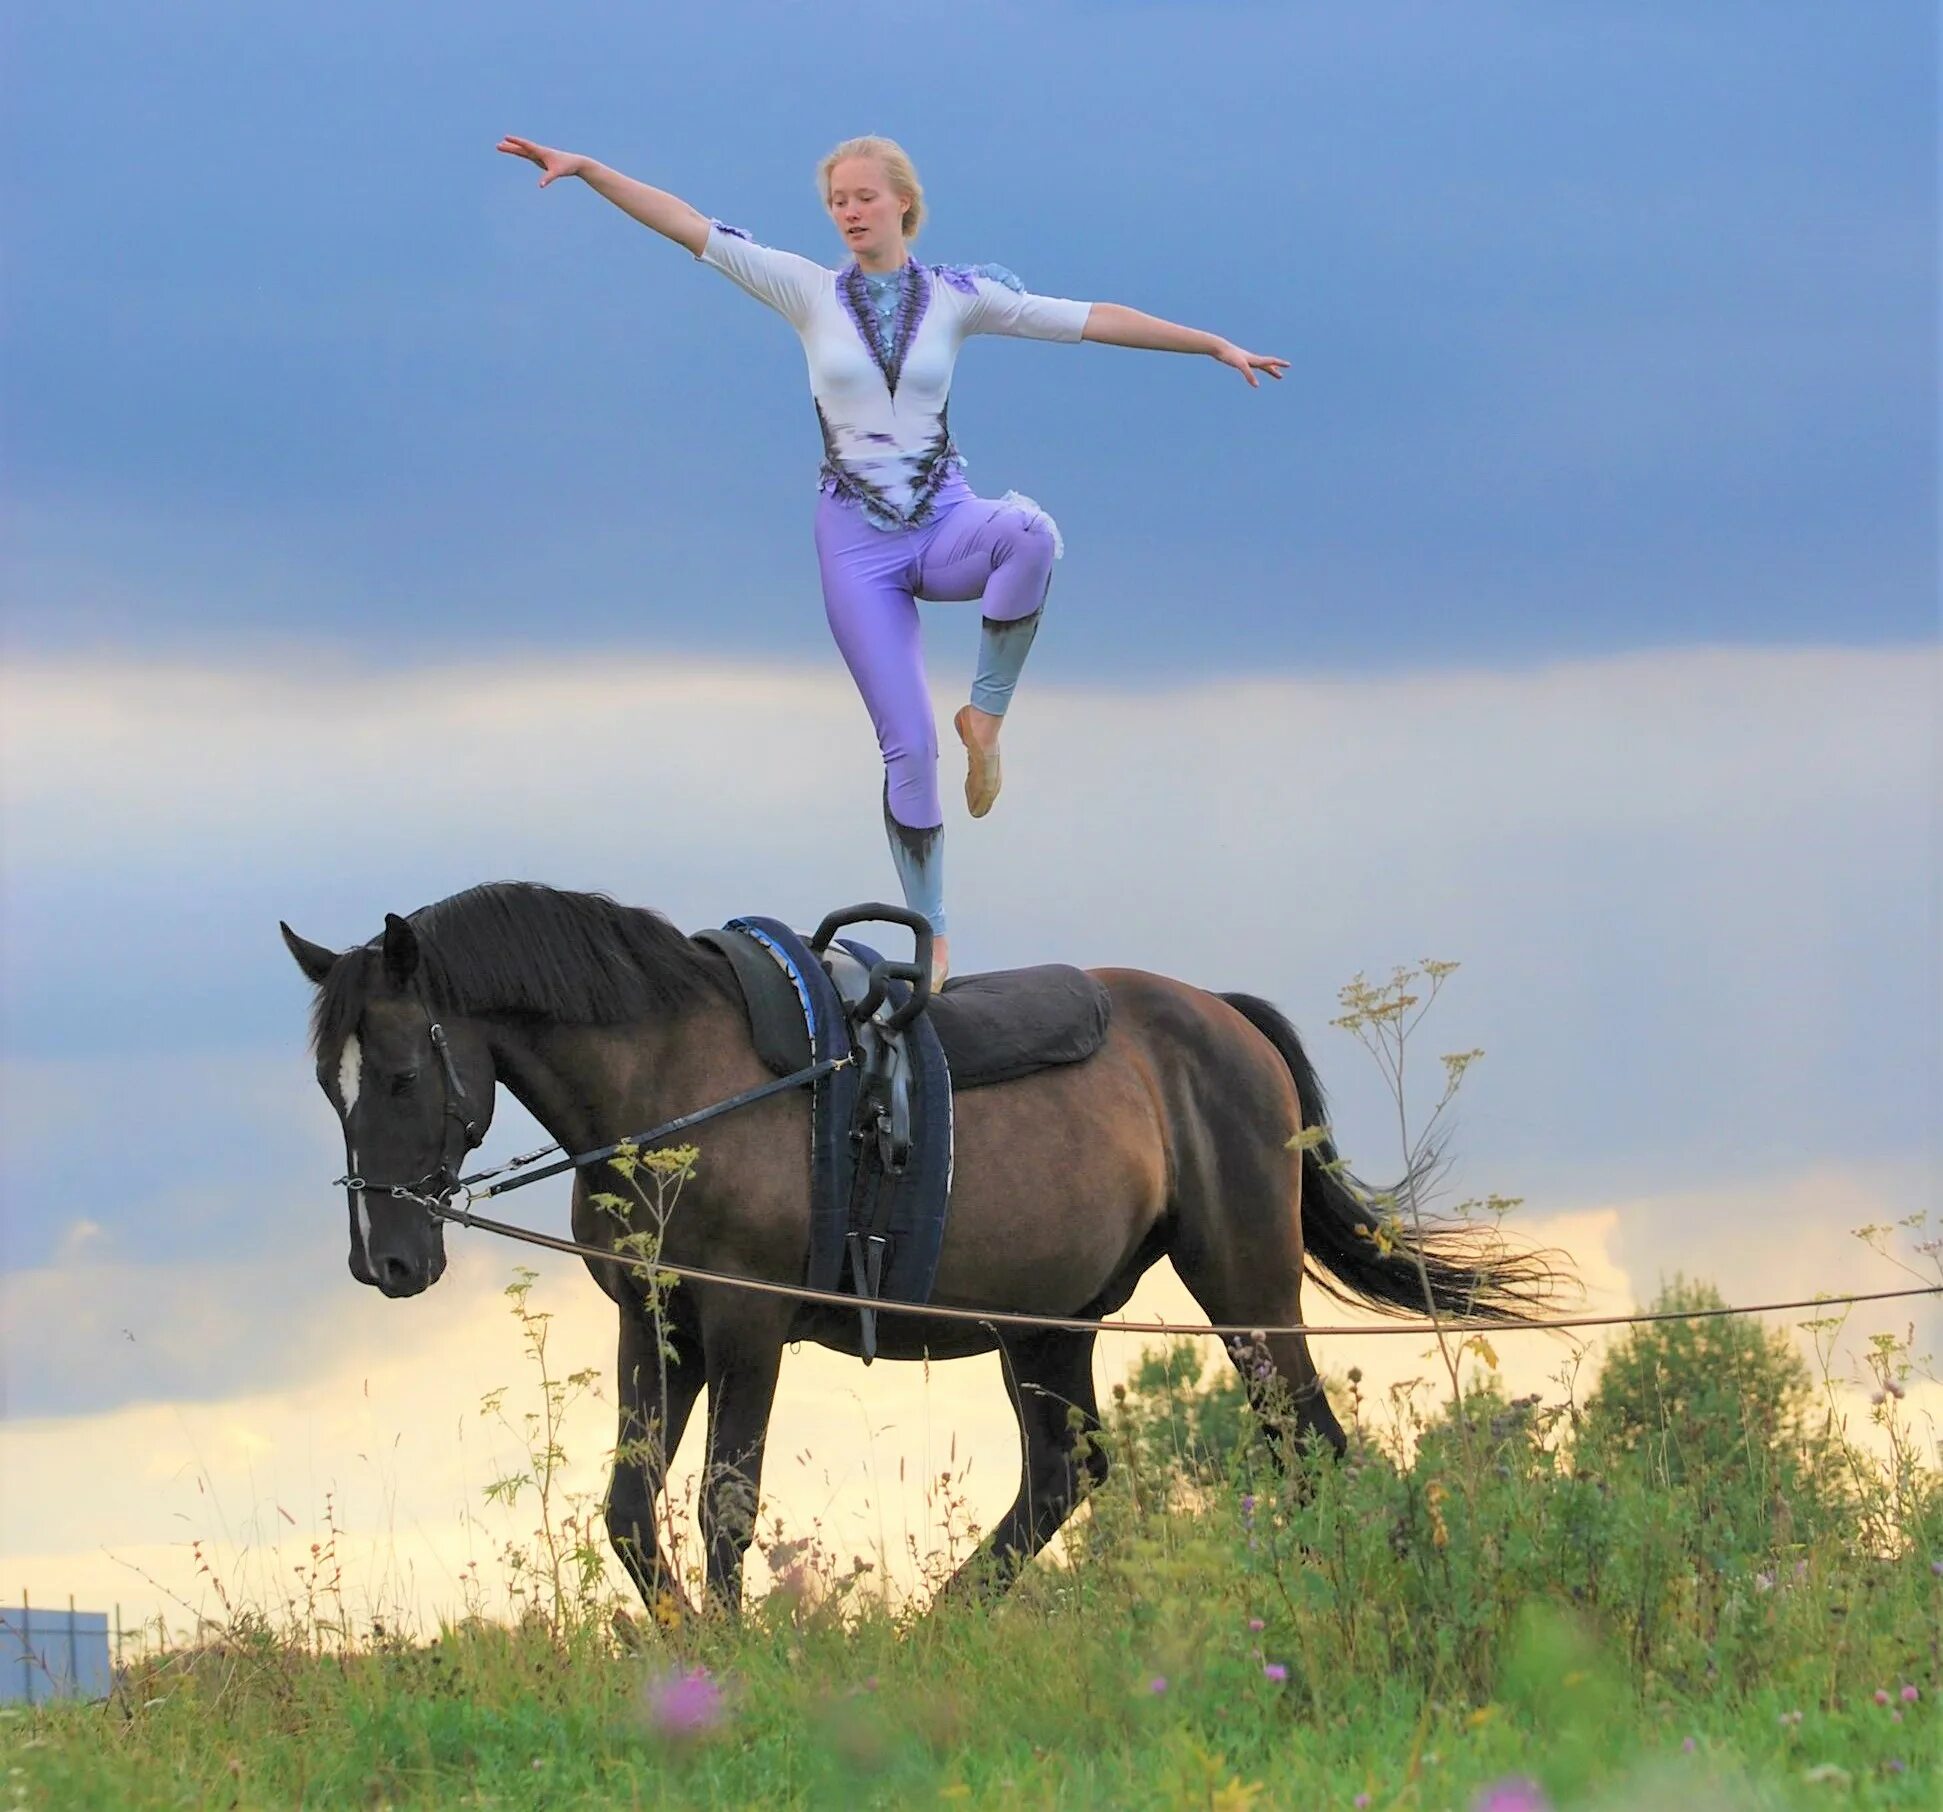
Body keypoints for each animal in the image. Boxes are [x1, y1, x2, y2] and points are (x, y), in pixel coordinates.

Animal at [281, 885, 1546, 1608]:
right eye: (327, 1084)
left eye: (397, 1075)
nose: (384, 1262)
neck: (677, 1085)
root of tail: (1224, 1022)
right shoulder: (658, 1323)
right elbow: (633, 1515)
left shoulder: (744, 1326)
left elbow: (723, 1508)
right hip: (1049, 1328)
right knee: (1064, 1476)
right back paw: (938, 1628)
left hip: (1243, 1289)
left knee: (1307, 1448)